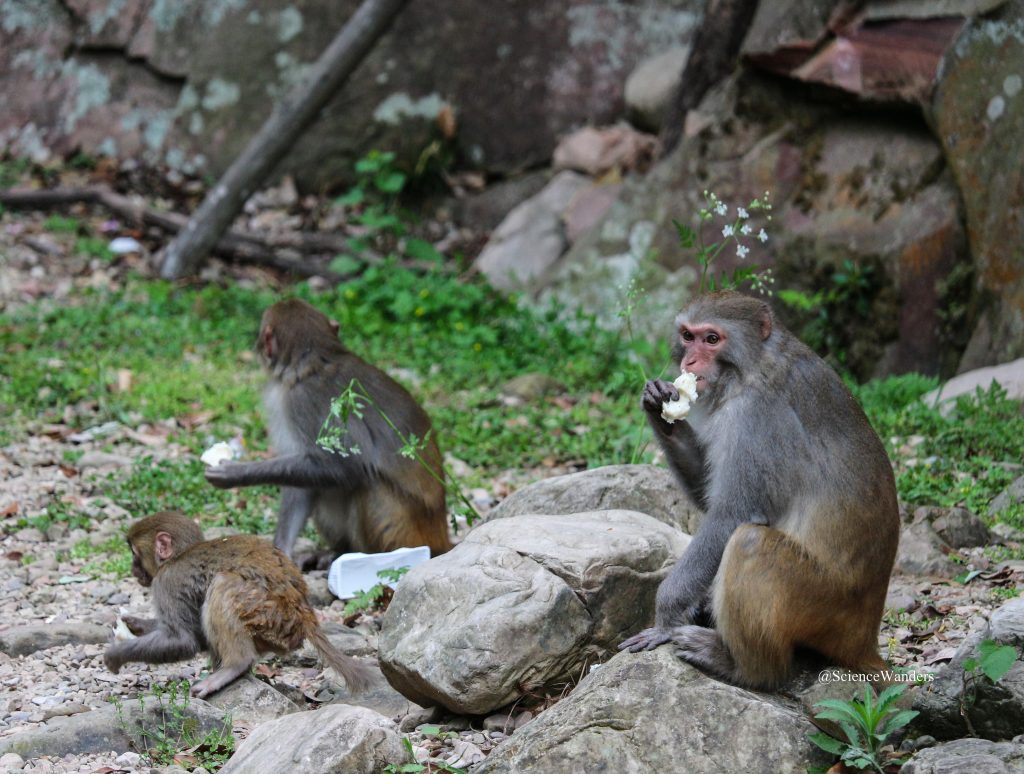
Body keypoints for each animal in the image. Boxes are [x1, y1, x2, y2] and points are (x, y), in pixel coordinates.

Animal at [102, 511, 372, 700]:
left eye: (134, 553)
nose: (133, 569)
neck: (179, 555)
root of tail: (305, 613)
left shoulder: (167, 581)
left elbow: (183, 641)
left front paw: (116, 654)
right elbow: (195, 636)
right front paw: (134, 624)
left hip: (271, 615)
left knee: (224, 584)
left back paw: (233, 666)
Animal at [614, 290, 897, 688]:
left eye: (712, 339)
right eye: (687, 335)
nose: (689, 360)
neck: (752, 366)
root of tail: (864, 638)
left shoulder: (756, 417)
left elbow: (732, 514)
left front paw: (665, 617)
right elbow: (708, 497)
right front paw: (660, 405)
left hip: (822, 603)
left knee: (750, 542)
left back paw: (746, 667)